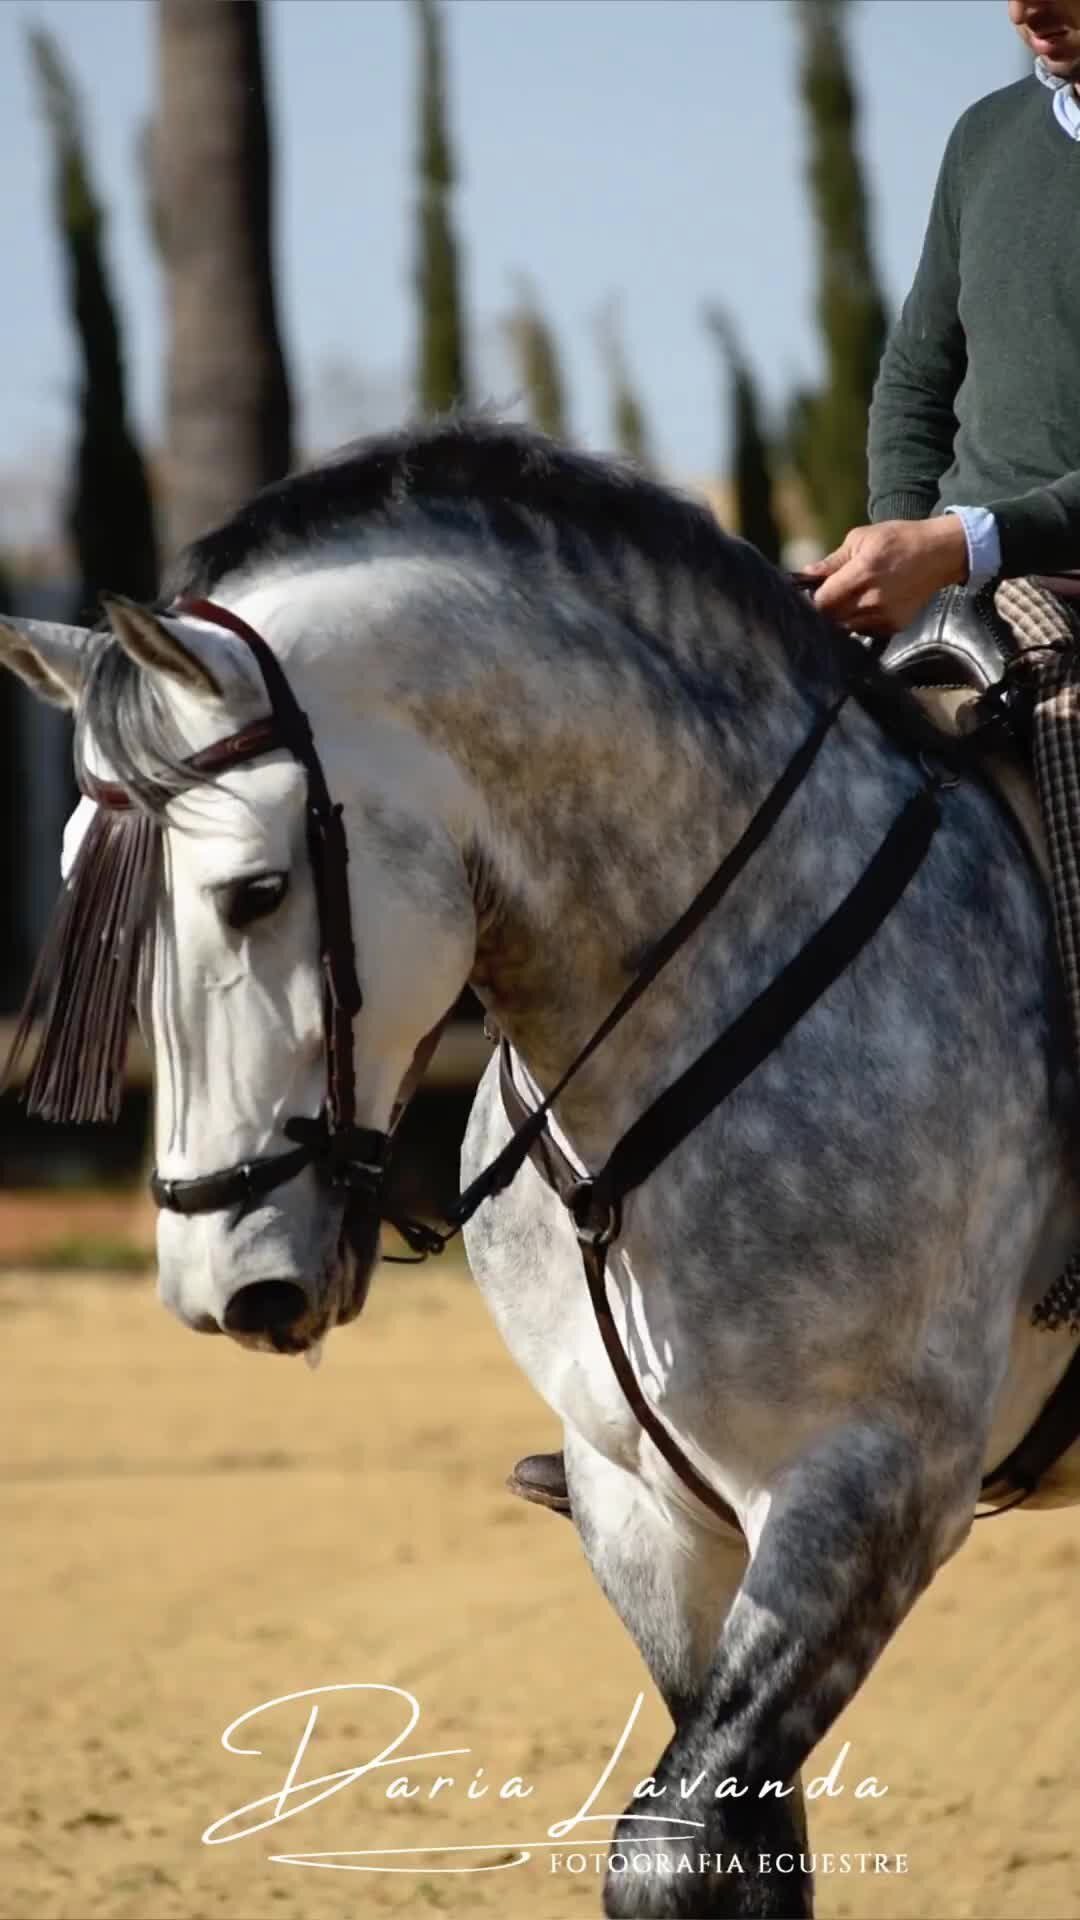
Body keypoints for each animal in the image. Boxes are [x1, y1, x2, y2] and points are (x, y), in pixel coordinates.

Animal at [2, 424, 1076, 1920]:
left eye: (255, 893)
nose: (222, 1285)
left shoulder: (872, 1488)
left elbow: (671, 1854)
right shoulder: (639, 1506)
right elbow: (746, 1845)